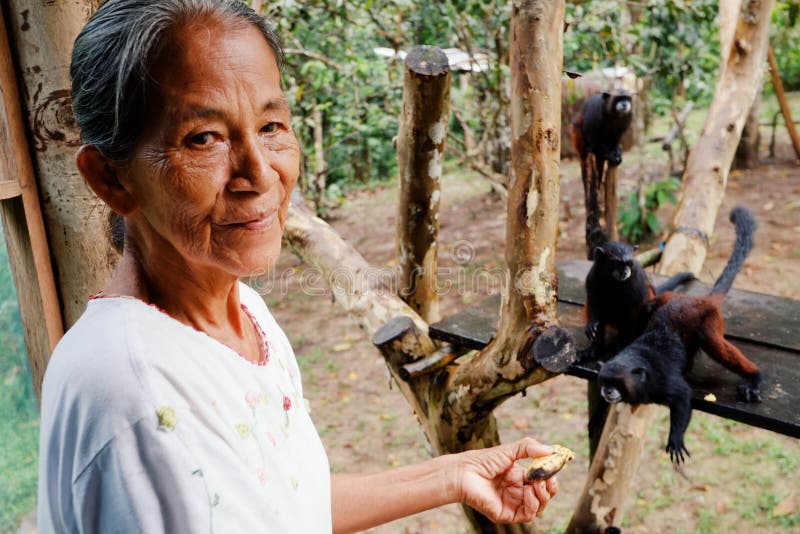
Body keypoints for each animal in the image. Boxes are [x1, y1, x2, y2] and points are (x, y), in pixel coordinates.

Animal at [600, 207, 764, 462]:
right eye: (605, 381)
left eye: (615, 383)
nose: (607, 391)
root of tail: (697, 300)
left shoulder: (663, 380)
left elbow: (683, 396)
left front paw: (675, 438)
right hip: (668, 299)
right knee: (651, 307)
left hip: (710, 317)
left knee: (710, 340)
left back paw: (754, 376)